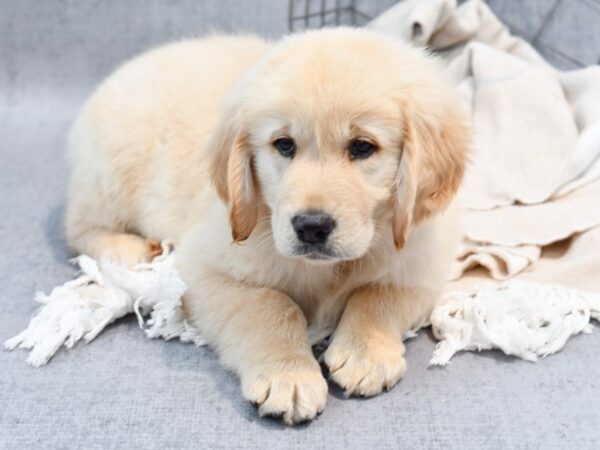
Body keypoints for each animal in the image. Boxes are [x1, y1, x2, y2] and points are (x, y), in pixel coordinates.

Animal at [65, 29, 468, 426]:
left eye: (362, 147)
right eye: (284, 145)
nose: (311, 227)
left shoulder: (422, 262)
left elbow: (378, 294)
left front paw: (365, 351)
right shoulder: (204, 269)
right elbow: (270, 304)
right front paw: (288, 375)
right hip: (110, 173)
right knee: (77, 226)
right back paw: (127, 251)